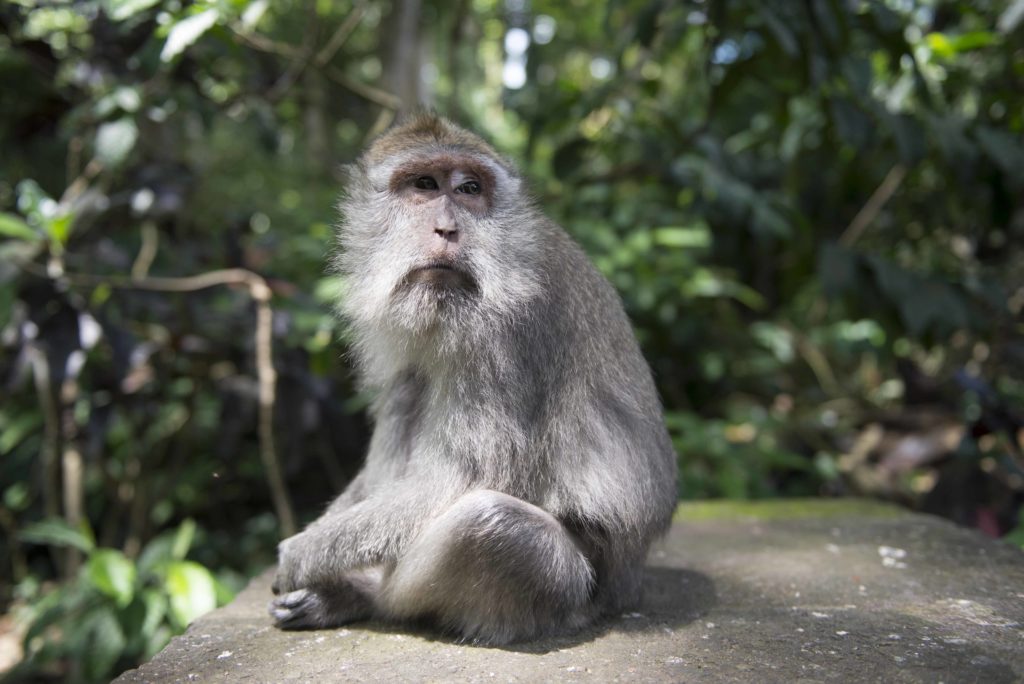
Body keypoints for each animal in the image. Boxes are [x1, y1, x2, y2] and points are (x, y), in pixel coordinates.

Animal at [268, 113, 675, 647]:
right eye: (423, 185)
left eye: (469, 189)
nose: (447, 228)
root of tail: (628, 589)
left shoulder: (510, 334)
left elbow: (461, 478)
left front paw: (299, 555)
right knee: (411, 389)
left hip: (567, 596)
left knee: (489, 524)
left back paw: (366, 595)